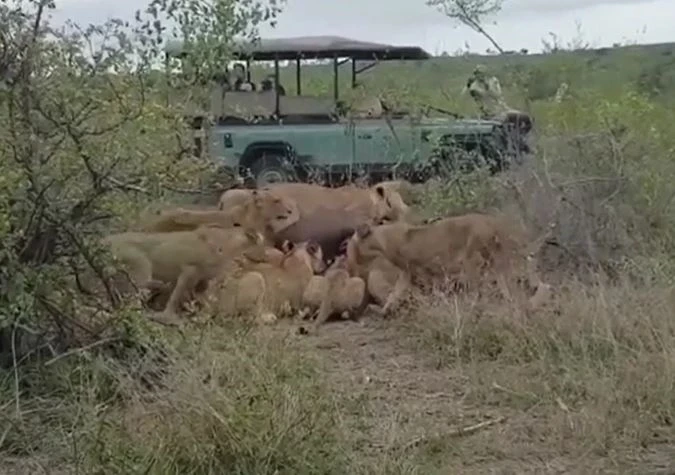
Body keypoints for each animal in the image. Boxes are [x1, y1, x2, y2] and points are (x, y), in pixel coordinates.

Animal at [103, 225, 266, 326]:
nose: (265, 253)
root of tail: (107, 238)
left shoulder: (202, 281)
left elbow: (204, 300)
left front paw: (202, 316)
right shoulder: (189, 270)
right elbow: (176, 295)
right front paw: (167, 317)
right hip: (142, 267)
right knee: (134, 298)